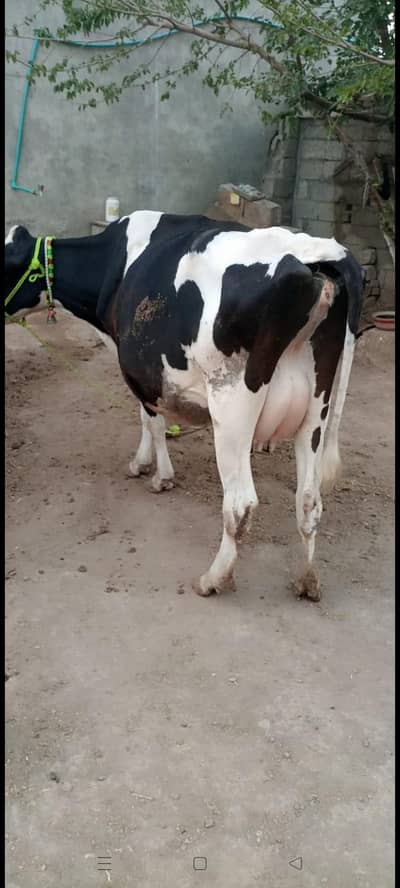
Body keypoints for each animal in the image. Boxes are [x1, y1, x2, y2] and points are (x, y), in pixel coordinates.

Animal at [5, 212, 365, 600]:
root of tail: (319, 252)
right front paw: (145, 463)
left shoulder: (142, 367)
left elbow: (151, 418)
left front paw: (156, 472)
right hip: (315, 409)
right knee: (309, 500)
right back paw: (307, 580)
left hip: (232, 402)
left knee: (240, 504)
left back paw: (213, 579)